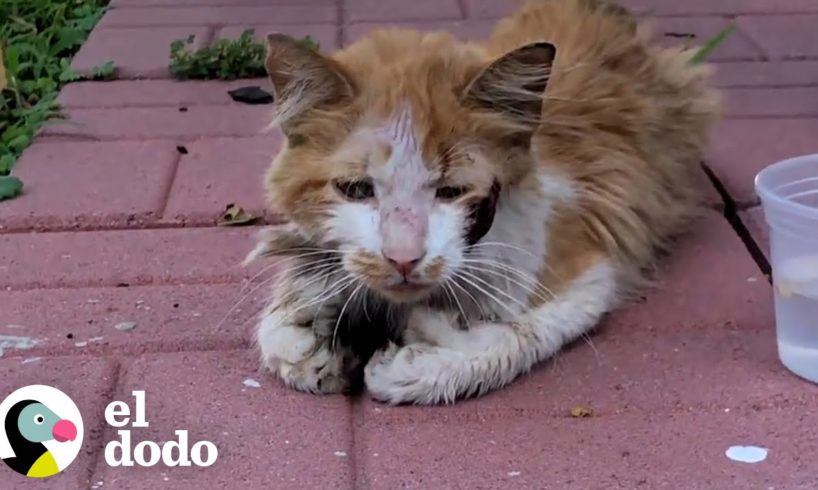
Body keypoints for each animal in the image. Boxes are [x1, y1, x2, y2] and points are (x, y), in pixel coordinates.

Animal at [244, 0, 720, 406]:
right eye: (357, 190)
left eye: (451, 192)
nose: (403, 259)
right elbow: (277, 330)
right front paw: (310, 334)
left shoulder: (589, 264)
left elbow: (522, 331)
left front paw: (425, 357)